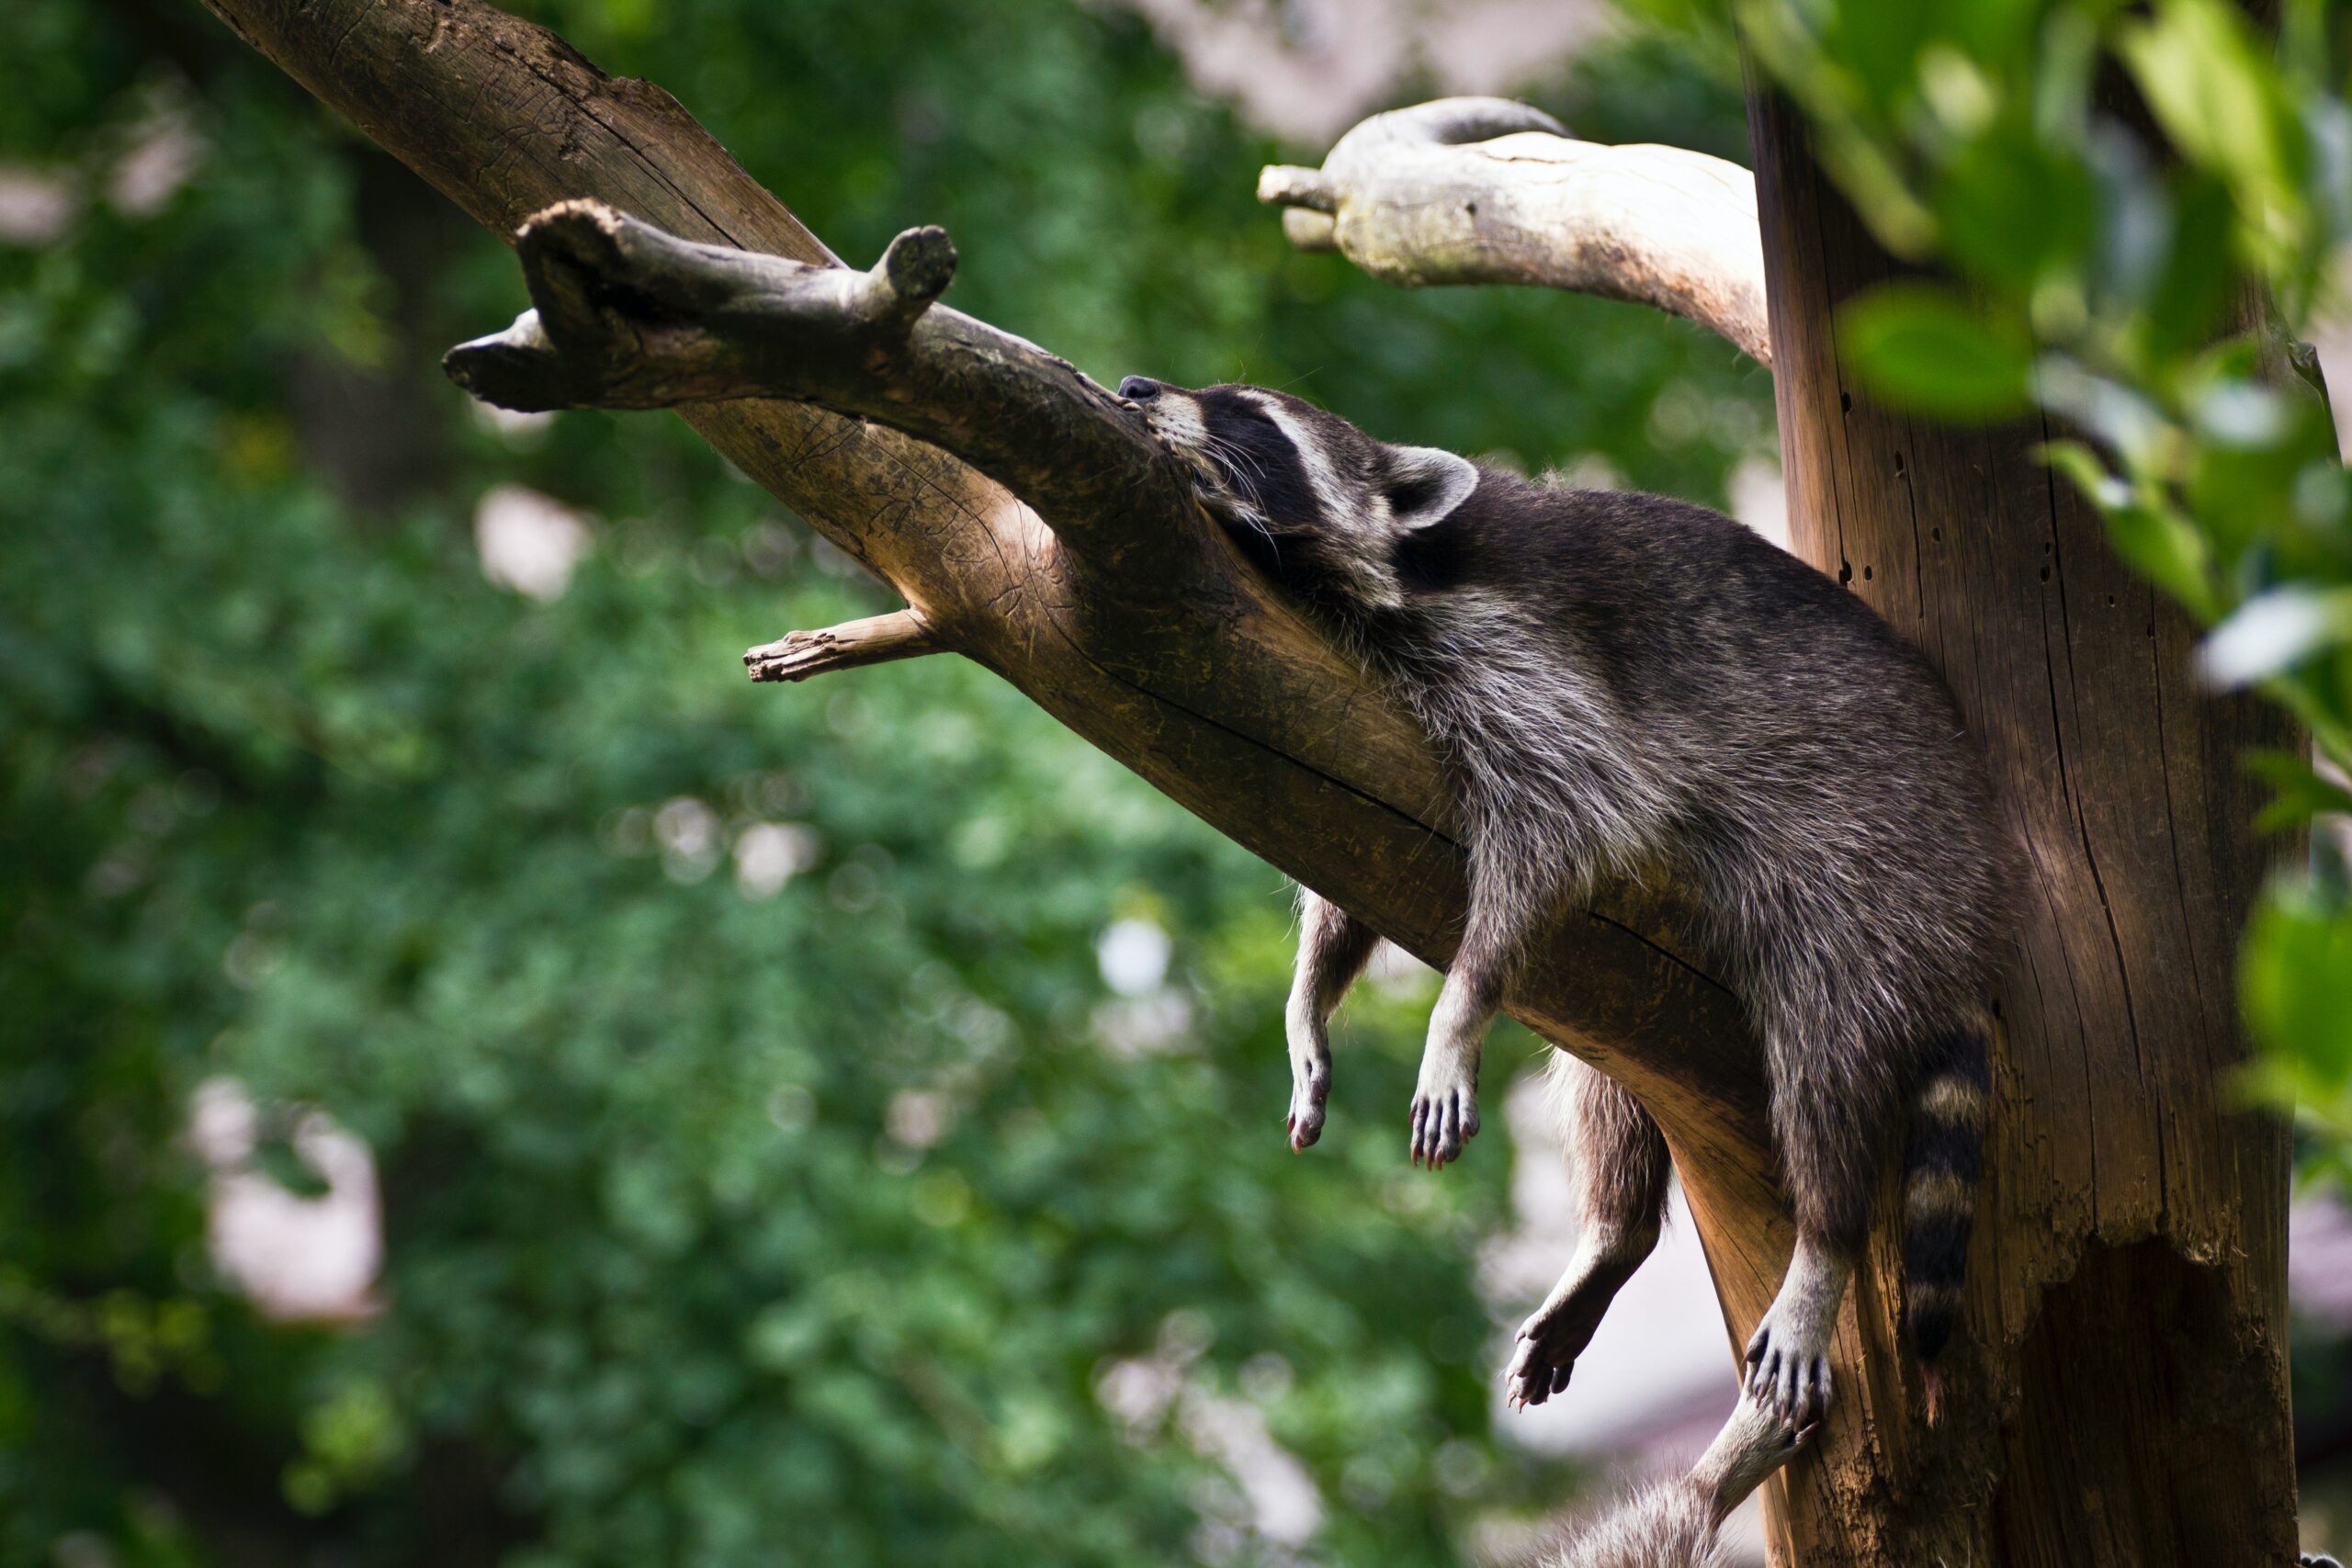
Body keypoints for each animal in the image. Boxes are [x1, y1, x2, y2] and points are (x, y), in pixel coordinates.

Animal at [1119, 376, 2004, 1419]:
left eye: (1245, 413)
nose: (1135, 387)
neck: (1406, 569)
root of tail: (1975, 892)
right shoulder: (1364, 718)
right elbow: (1349, 868)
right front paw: (1310, 998)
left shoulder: (1535, 671)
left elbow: (1557, 841)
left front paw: (1457, 1009)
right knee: (1609, 1077)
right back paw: (1616, 1230)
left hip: (1876, 877)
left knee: (1824, 1061)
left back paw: (1824, 1239)